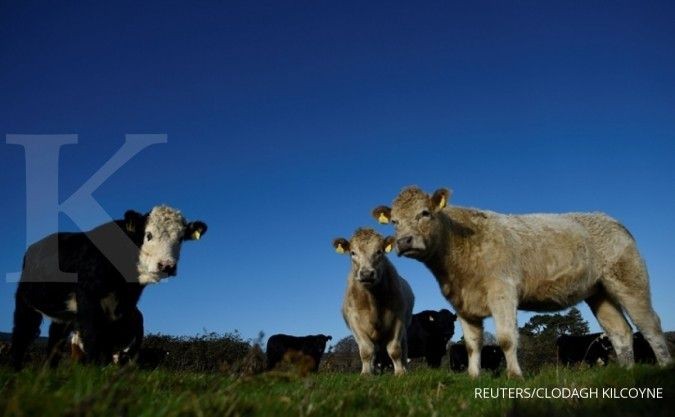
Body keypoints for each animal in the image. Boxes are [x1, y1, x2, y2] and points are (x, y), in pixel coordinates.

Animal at [334, 228, 414, 374]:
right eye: (352, 253)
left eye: (379, 251)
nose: (366, 274)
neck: (373, 303)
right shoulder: (354, 321)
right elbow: (366, 350)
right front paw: (366, 373)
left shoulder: (398, 319)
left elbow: (395, 349)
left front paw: (400, 372)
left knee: (404, 348)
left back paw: (405, 368)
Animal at [372, 185, 672, 376]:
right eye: (394, 221)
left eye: (424, 213)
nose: (404, 241)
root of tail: (609, 219)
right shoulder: (464, 304)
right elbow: (472, 344)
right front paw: (473, 377)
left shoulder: (503, 292)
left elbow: (506, 338)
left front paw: (515, 376)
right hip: (598, 292)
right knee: (620, 331)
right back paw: (628, 373)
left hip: (629, 281)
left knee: (649, 324)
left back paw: (665, 367)